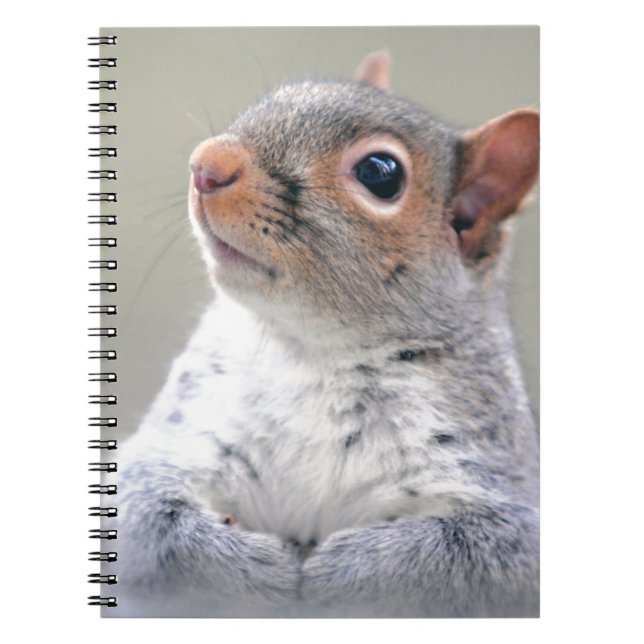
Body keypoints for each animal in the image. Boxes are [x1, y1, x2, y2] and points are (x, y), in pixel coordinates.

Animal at [114, 51, 540, 618]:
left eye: (380, 173)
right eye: (276, 97)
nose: (207, 163)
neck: (315, 351)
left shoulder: (499, 486)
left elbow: (474, 557)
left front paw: (352, 572)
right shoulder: (179, 435)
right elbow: (145, 518)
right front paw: (252, 568)